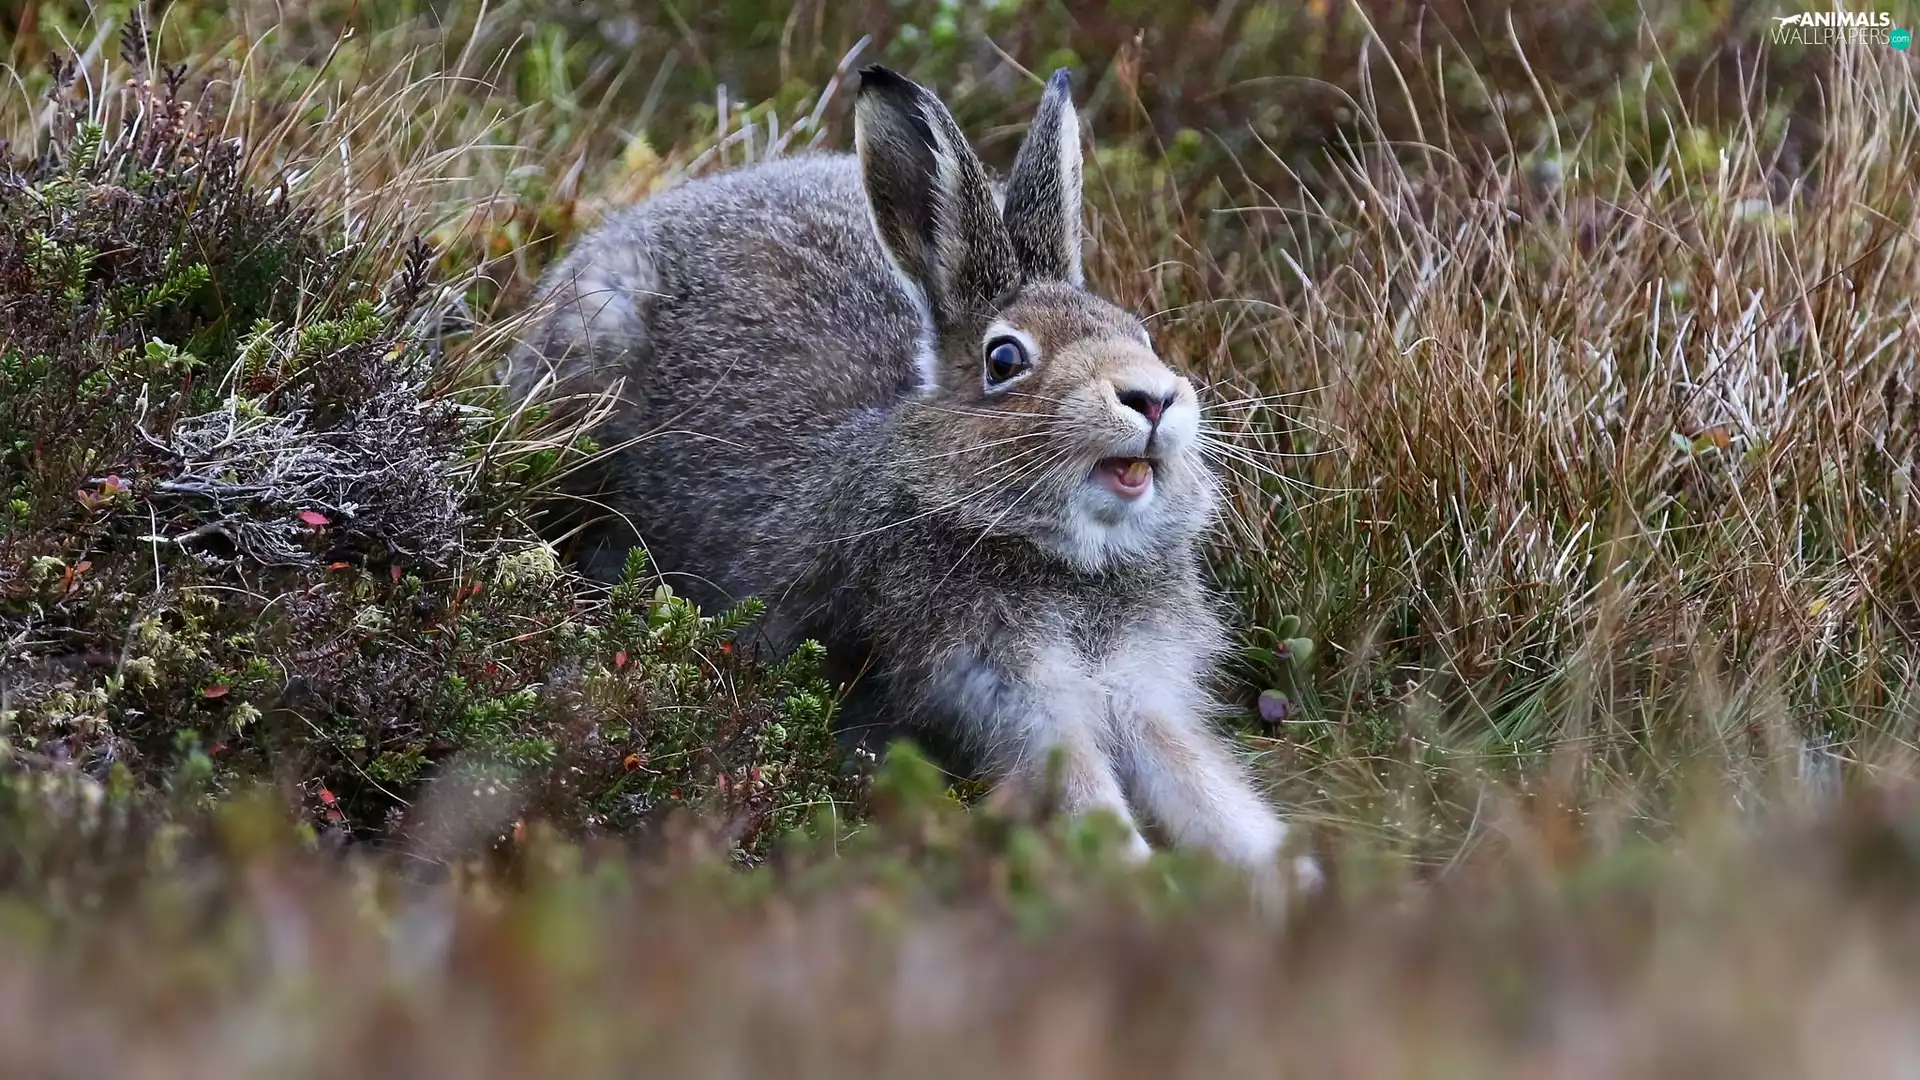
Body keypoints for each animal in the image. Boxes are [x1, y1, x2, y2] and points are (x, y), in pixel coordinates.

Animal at [508, 65, 1320, 906]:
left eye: (1141, 333)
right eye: (1005, 359)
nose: (1154, 400)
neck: (1072, 560)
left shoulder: (1145, 693)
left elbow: (1210, 791)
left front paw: (1299, 885)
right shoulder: (1008, 696)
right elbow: (1087, 799)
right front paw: (1143, 888)